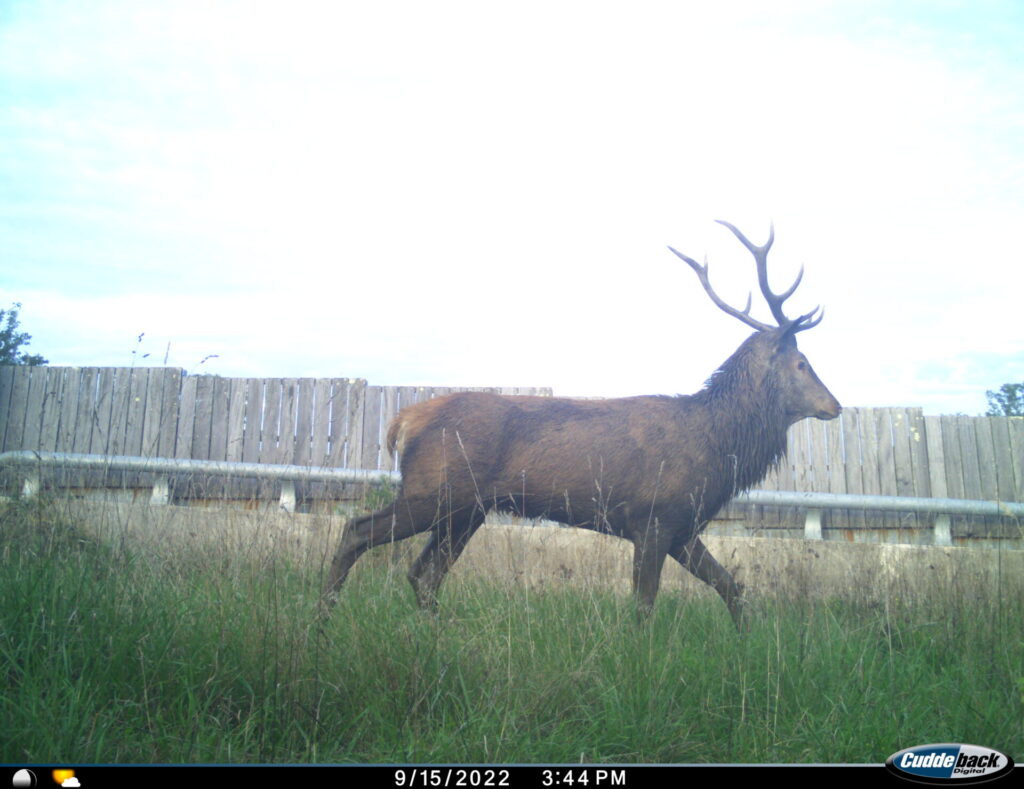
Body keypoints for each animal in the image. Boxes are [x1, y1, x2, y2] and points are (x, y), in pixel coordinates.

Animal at [321, 221, 841, 629]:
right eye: (801, 363)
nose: (834, 404)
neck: (719, 448)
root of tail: (402, 422)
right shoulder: (653, 519)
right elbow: (643, 606)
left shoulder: (683, 529)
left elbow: (732, 588)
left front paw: (747, 643)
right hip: (433, 492)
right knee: (357, 533)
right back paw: (322, 620)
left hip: (466, 510)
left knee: (423, 574)